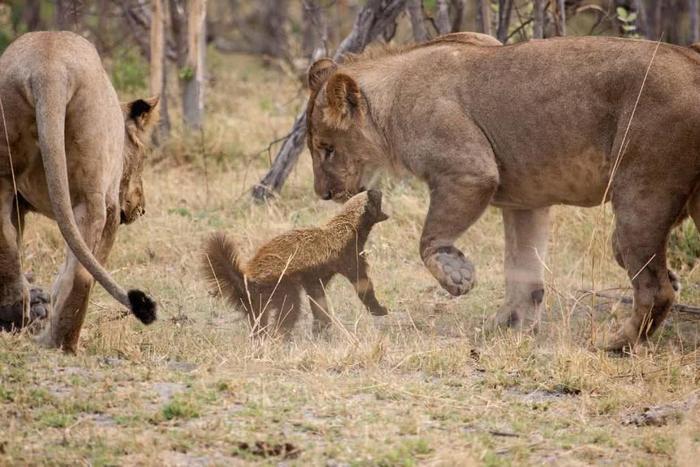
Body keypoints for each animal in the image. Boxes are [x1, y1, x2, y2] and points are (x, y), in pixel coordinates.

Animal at [0, 31, 159, 352]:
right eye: (143, 156)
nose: (142, 207)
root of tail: (48, 67)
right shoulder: (111, 207)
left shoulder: (18, 204)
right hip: (92, 195)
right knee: (82, 273)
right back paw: (61, 343)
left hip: (2, 167)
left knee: (6, 242)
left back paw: (16, 318)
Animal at [202, 190, 388, 336]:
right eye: (375, 197)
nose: (378, 189)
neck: (348, 226)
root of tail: (247, 278)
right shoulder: (349, 255)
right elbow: (362, 284)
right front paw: (379, 310)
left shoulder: (315, 277)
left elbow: (318, 299)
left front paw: (321, 328)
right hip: (281, 286)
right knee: (289, 309)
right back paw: (281, 337)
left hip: (258, 301)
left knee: (258, 320)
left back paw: (261, 338)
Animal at [304, 33, 700, 352]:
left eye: (327, 149)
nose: (323, 193)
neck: (390, 104)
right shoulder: (526, 201)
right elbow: (523, 272)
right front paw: (507, 326)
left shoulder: (470, 171)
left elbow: (429, 239)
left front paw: (457, 276)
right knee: (640, 266)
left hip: (641, 192)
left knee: (654, 288)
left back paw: (617, 343)